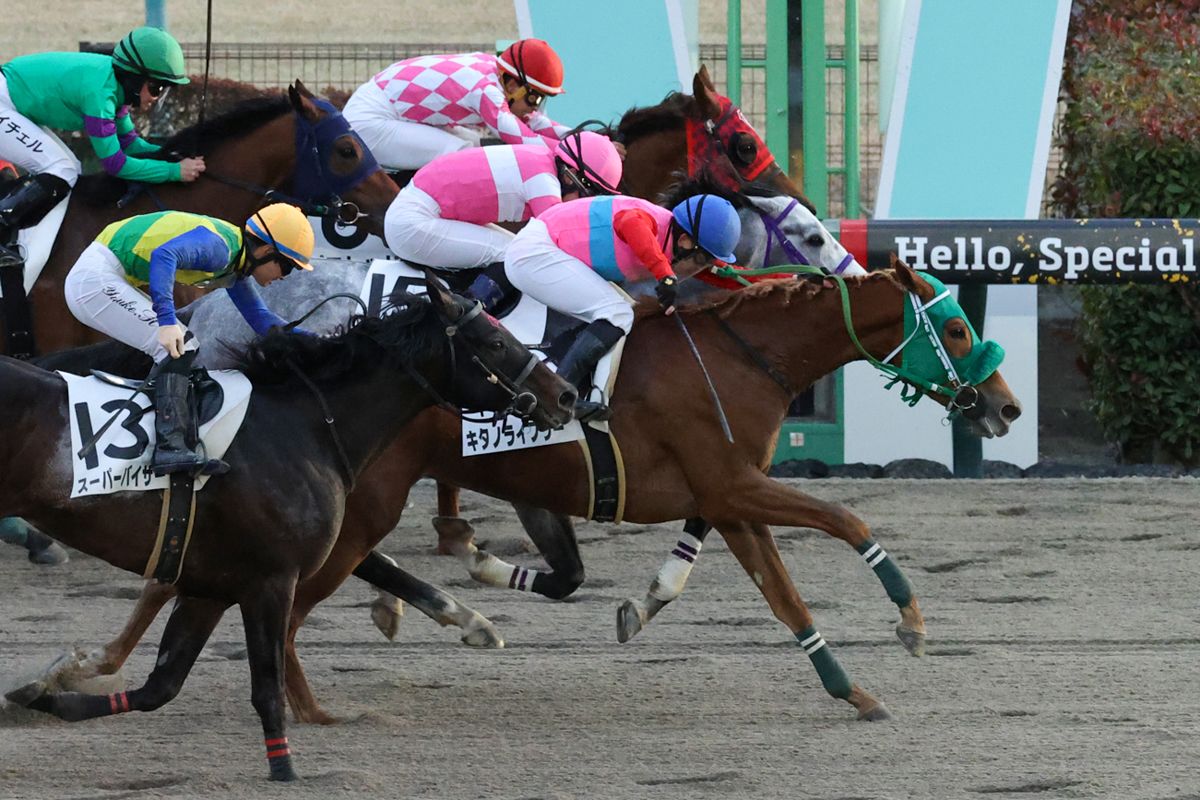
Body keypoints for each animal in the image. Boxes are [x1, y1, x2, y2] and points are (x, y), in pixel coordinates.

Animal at [1, 278, 574, 782]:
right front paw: (285, 770)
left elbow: (159, 687)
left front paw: (43, 696)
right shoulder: (271, 581)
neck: (306, 426)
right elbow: (265, 687)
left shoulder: (209, 588)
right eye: (496, 342)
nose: (567, 395)